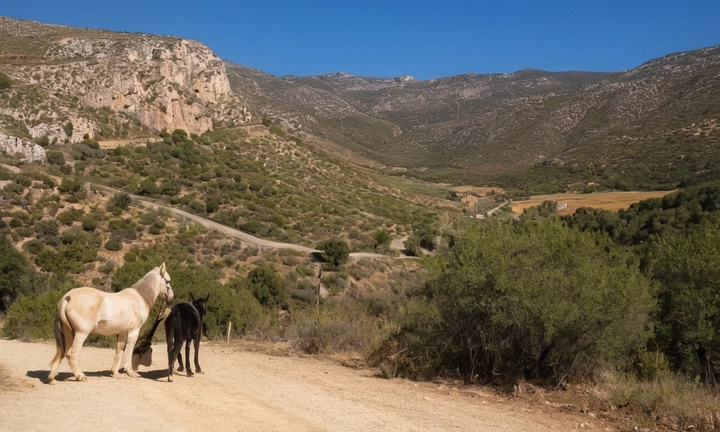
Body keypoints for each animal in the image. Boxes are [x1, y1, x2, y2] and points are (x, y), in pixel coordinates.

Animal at [46, 262, 174, 384]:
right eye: (168, 281)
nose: (171, 296)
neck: (140, 297)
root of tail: (68, 298)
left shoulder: (122, 332)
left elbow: (119, 351)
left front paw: (115, 373)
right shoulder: (134, 330)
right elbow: (129, 349)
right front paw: (130, 372)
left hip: (68, 332)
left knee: (63, 352)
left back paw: (52, 378)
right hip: (81, 333)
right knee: (71, 354)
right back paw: (80, 376)